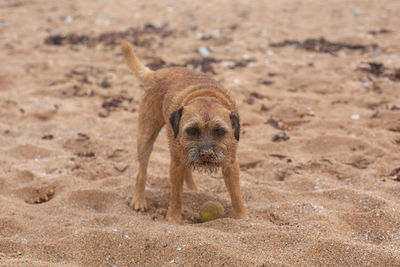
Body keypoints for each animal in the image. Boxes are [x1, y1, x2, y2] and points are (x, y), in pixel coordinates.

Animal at [122, 40, 247, 223]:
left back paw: (194, 189)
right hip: (146, 136)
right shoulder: (176, 164)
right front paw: (173, 218)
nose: (207, 154)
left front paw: (242, 217)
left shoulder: (231, 164)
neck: (205, 95)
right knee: (142, 171)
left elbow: (236, 194)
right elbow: (176, 195)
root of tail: (156, 73)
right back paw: (139, 199)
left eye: (220, 131)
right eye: (192, 130)